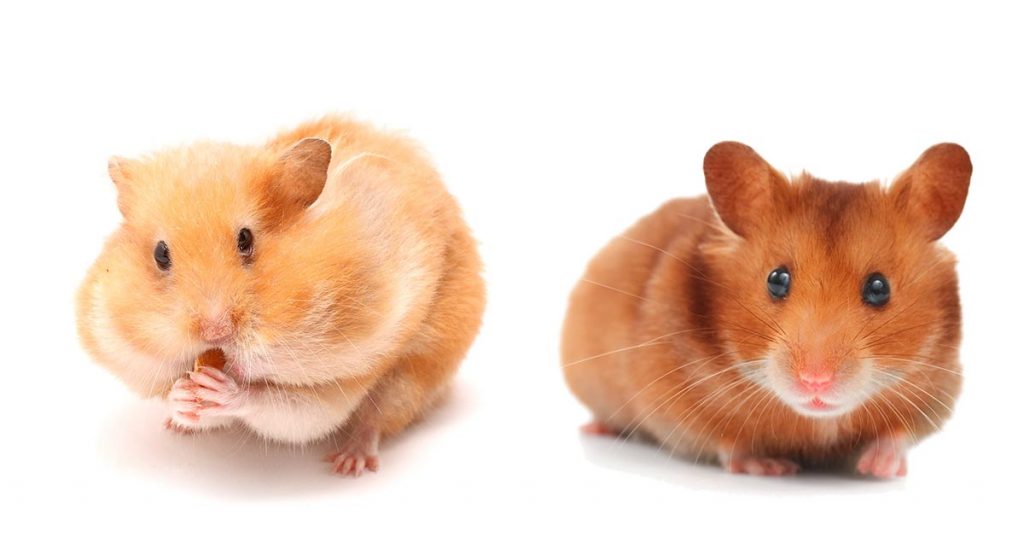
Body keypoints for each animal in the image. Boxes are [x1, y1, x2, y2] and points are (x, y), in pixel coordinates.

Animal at [76, 115, 485, 476]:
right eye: (161, 254)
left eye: (246, 240)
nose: (215, 331)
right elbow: (178, 394)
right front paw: (182, 399)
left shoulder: (334, 388)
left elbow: (282, 407)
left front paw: (224, 387)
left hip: (413, 376)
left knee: (375, 421)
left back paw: (349, 464)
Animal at [561, 142, 971, 478]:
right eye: (776, 280)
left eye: (879, 288)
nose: (815, 381)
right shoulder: (678, 405)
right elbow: (729, 441)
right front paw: (773, 466)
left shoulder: (938, 390)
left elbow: (900, 433)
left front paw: (880, 468)